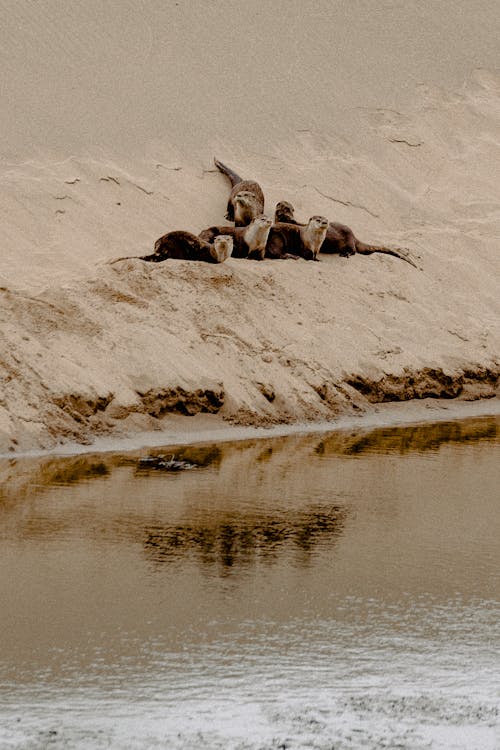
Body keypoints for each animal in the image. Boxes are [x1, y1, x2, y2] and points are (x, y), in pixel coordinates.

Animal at [274, 201, 418, 268]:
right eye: (283, 207)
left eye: (288, 208)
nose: (325, 222)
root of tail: (354, 236)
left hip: (348, 240)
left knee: (353, 250)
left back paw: (345, 254)